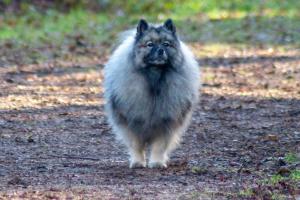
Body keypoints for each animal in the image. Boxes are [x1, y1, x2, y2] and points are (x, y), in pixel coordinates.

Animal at [104, 19, 200, 169]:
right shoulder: (131, 122)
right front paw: (138, 162)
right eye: (150, 44)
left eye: (166, 44)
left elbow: (160, 146)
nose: (160, 50)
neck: (155, 75)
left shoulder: (166, 123)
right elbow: (136, 145)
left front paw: (157, 162)